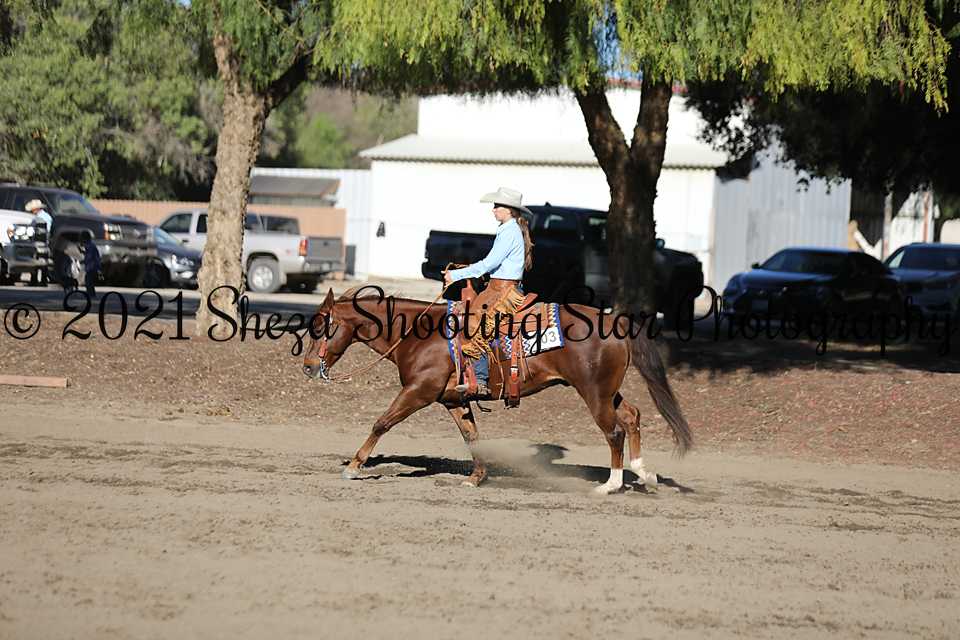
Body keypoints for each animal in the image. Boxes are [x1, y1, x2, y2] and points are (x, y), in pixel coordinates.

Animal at [301, 286, 694, 495]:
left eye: (320, 328)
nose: (307, 367)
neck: (416, 333)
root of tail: (616, 321)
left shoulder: (419, 391)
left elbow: (382, 422)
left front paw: (354, 466)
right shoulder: (451, 400)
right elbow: (471, 436)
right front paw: (476, 478)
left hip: (594, 393)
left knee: (614, 431)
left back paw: (609, 486)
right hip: (608, 391)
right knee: (632, 417)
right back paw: (646, 475)